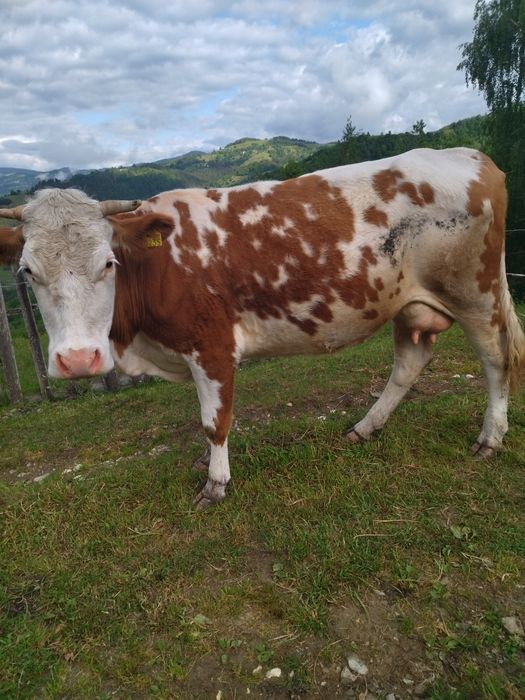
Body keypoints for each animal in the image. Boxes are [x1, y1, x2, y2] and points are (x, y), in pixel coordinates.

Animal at [1, 147, 524, 508]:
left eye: (108, 263)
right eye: (27, 271)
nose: (76, 360)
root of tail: (469, 155)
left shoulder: (212, 346)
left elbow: (214, 421)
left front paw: (215, 483)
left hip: (475, 294)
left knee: (496, 360)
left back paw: (490, 438)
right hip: (407, 301)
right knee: (409, 363)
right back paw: (364, 427)